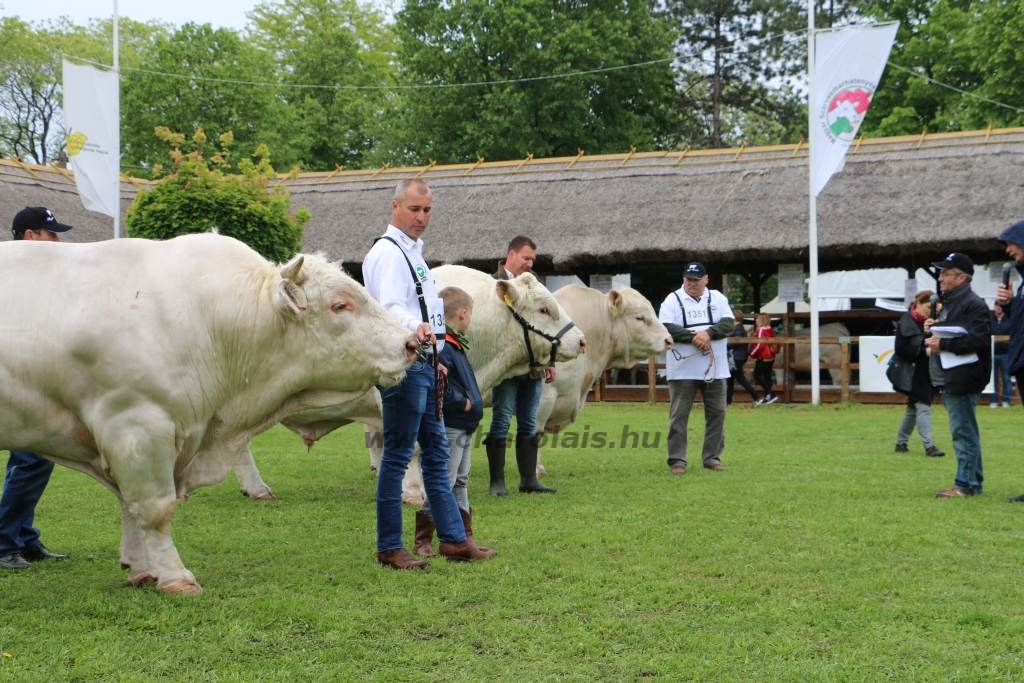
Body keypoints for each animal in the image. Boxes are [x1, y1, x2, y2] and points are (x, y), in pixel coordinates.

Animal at [1, 233, 415, 593]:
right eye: (340, 304)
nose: (412, 342)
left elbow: (129, 505)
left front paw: (140, 569)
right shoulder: (136, 425)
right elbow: (153, 508)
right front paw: (174, 577)